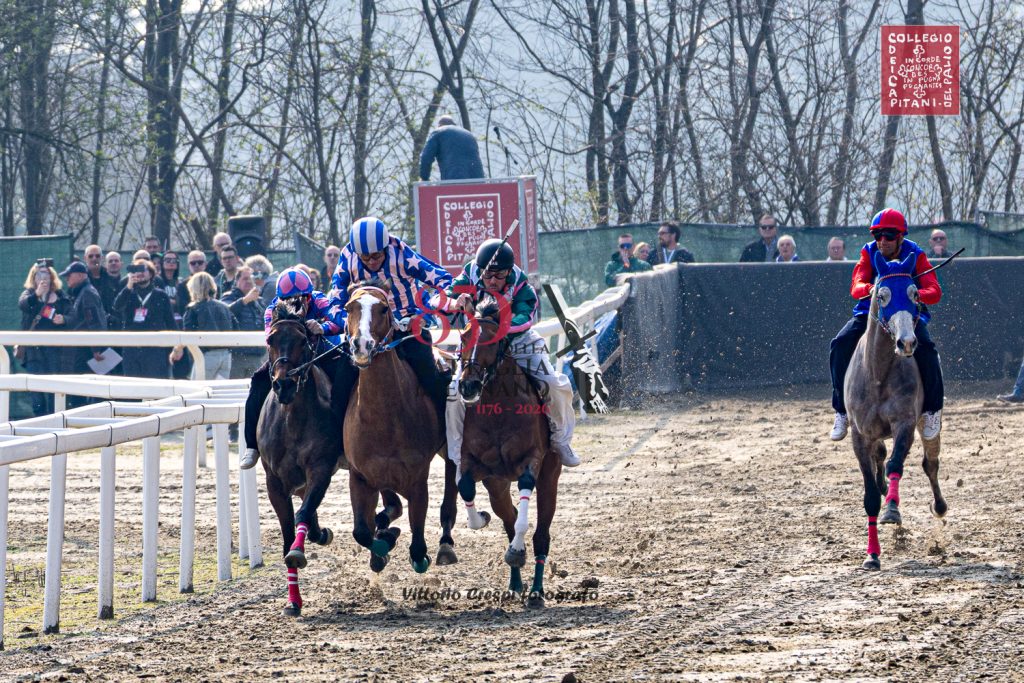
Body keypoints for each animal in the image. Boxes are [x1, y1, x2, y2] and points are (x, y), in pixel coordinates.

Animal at [258, 298, 346, 616]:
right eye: (270, 340)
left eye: (302, 340)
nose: (283, 384)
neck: (292, 419)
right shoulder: (274, 481)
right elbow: (286, 532)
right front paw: (293, 601)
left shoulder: (320, 468)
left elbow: (303, 514)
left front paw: (299, 548)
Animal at [342, 280, 458, 574]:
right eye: (349, 307)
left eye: (383, 309)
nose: (361, 345)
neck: (383, 419)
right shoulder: (361, 476)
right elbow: (363, 530)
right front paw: (383, 544)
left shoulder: (417, 478)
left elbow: (417, 534)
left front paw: (412, 550)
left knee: (449, 497)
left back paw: (446, 544)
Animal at [453, 297, 561, 608]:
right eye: (464, 337)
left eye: (492, 340)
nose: (468, 385)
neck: (498, 407)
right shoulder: (477, 464)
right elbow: (465, 486)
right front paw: (479, 519)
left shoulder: (532, 460)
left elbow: (525, 500)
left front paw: (516, 551)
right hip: (497, 486)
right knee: (509, 519)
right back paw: (515, 584)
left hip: (550, 477)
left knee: (541, 534)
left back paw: (536, 590)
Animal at [845, 251, 947, 571]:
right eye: (882, 294)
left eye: (915, 293)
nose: (907, 342)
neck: (878, 372)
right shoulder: (860, 434)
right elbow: (869, 495)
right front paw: (872, 555)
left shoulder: (904, 424)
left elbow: (896, 466)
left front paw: (892, 510)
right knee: (880, 454)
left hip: (927, 425)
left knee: (930, 463)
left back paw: (939, 506)